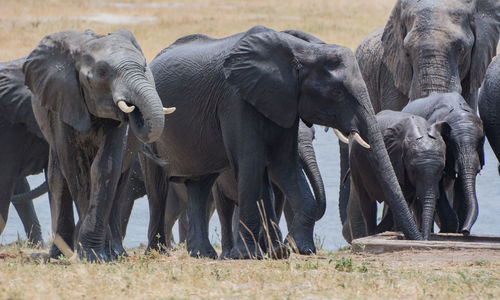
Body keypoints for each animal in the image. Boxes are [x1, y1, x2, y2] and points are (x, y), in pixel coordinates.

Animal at [23, 28, 176, 262]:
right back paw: (59, 255)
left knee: (120, 182)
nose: (134, 109)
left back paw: (116, 252)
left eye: (144, 67)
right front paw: (91, 255)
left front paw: (98, 255)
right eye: (102, 72)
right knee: (58, 178)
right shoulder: (64, 101)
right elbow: (77, 171)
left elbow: (104, 167)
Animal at [144, 25, 422, 260]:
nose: (416, 239)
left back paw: (203, 255)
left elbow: (284, 165)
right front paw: (250, 255)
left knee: (200, 184)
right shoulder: (235, 99)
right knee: (158, 187)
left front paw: (296, 249)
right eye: (337, 92)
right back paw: (158, 252)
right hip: (149, 125)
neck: (301, 52)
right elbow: (251, 163)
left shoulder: (283, 102)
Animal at [342, 111, 448, 243]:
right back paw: (371, 233)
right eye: (413, 171)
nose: (424, 239)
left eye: (441, 171)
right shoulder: (394, 158)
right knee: (368, 204)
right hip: (355, 162)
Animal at [402, 92, 484, 234]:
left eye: (481, 142)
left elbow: (460, 185)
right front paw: (449, 229)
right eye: (451, 144)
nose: (465, 231)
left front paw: (456, 230)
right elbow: (438, 186)